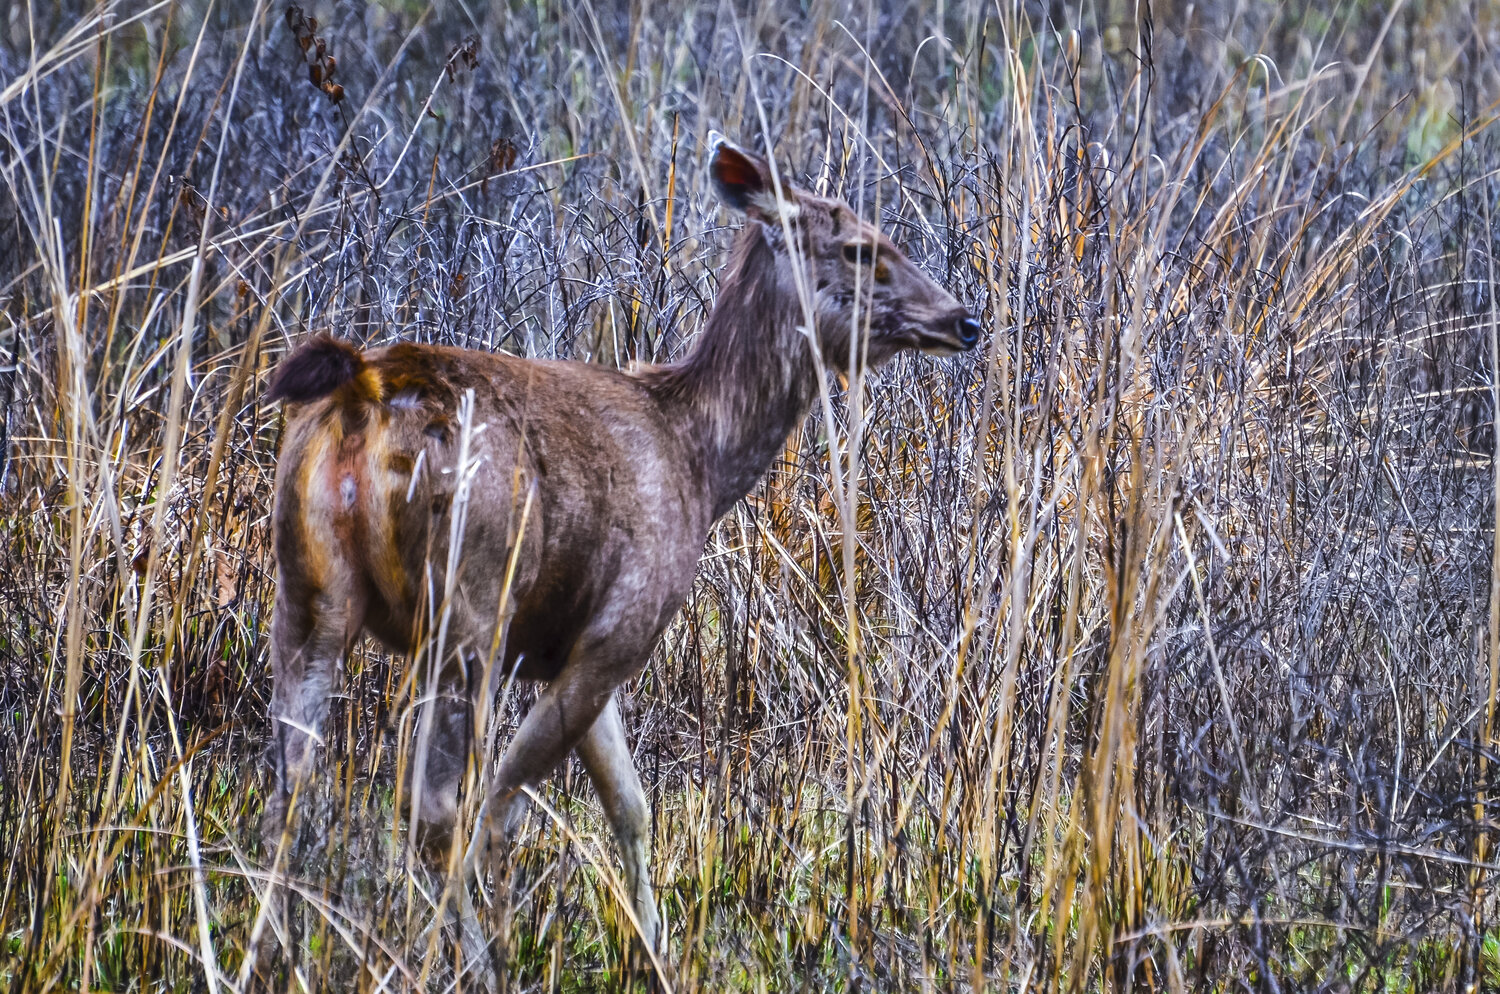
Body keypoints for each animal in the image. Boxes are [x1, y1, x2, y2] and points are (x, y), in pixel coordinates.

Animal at [260, 134, 980, 963]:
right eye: (863, 248)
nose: (966, 319)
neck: (700, 461)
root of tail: (363, 392)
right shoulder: (620, 629)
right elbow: (509, 802)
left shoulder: (566, 651)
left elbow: (629, 803)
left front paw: (652, 943)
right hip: (469, 606)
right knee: (433, 806)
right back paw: (463, 954)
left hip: (307, 591)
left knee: (291, 780)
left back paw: (273, 943)